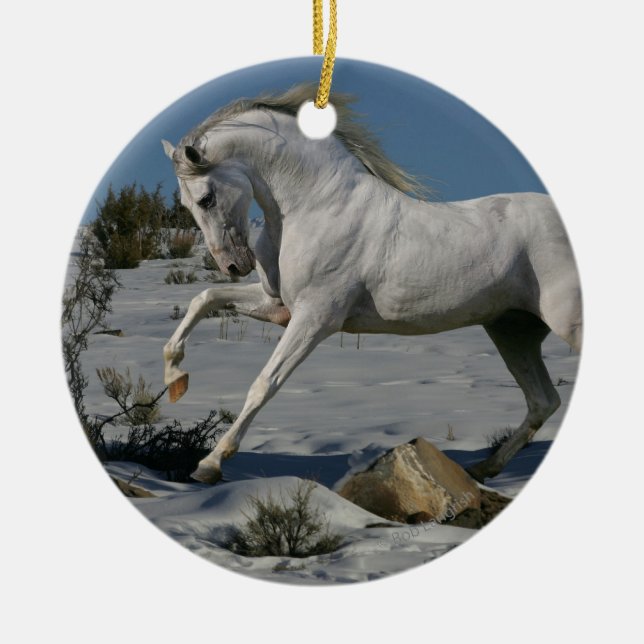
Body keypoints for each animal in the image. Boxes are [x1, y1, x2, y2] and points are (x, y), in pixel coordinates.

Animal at [161, 84, 582, 485]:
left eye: (206, 198)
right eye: (187, 205)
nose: (234, 265)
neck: (315, 205)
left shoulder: (316, 317)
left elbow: (265, 383)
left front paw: (209, 465)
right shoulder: (277, 304)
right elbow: (204, 298)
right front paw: (175, 378)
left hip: (564, 322)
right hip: (512, 330)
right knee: (543, 401)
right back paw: (482, 469)